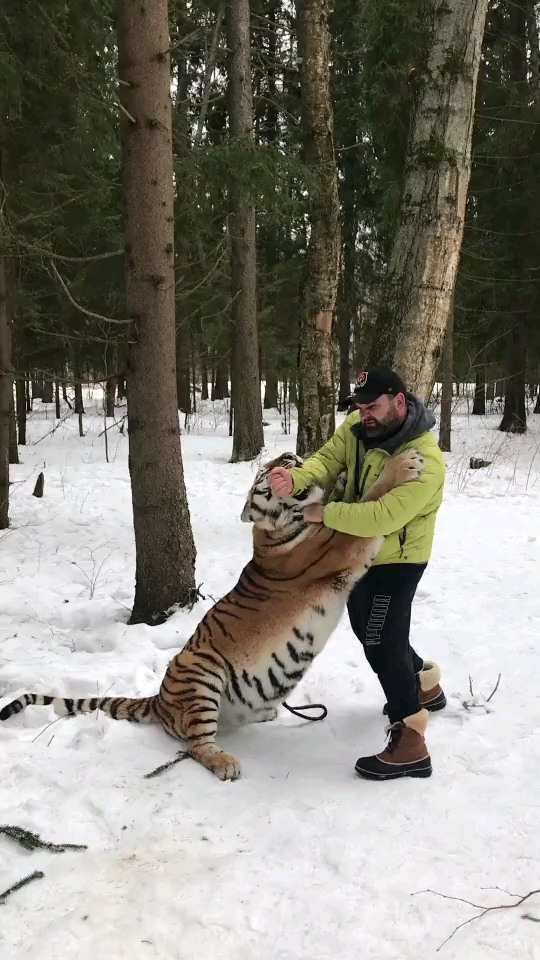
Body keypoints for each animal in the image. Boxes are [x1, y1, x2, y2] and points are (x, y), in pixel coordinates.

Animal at [0, 447, 424, 781]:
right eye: (264, 477)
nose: (289, 455)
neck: (286, 526)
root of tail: (158, 700)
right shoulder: (341, 546)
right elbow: (372, 499)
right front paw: (406, 462)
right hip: (202, 673)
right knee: (196, 743)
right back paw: (225, 763)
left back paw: (264, 714)